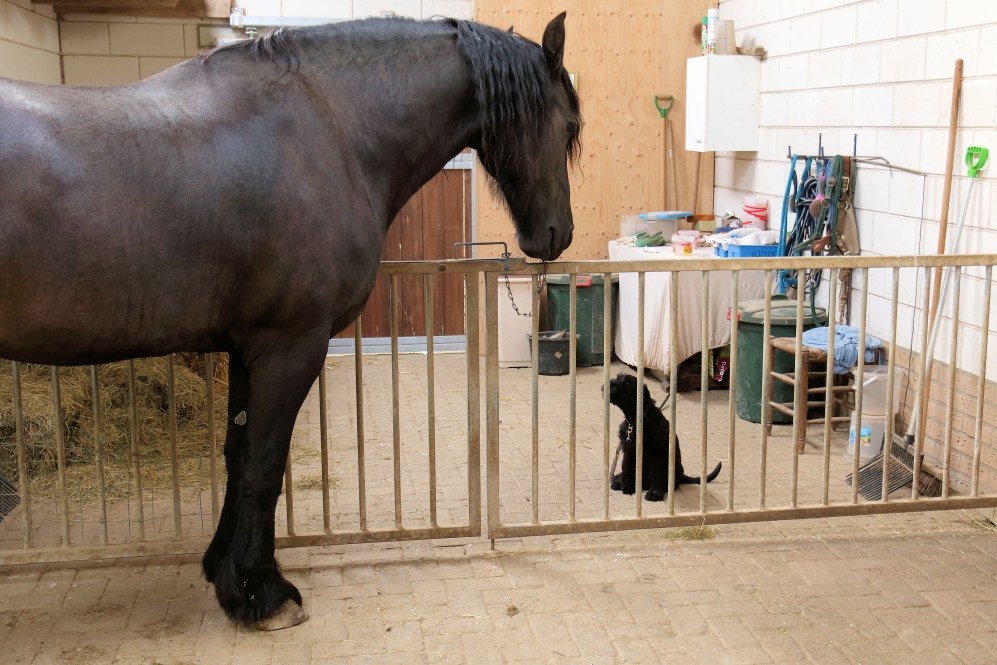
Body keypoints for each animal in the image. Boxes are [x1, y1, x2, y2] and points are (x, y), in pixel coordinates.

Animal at [0, 14, 580, 628]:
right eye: (568, 127)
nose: (557, 234)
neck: (329, 129)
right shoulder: (290, 346)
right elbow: (264, 463)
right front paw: (263, 591)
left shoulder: (244, 348)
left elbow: (237, 454)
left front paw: (224, 572)